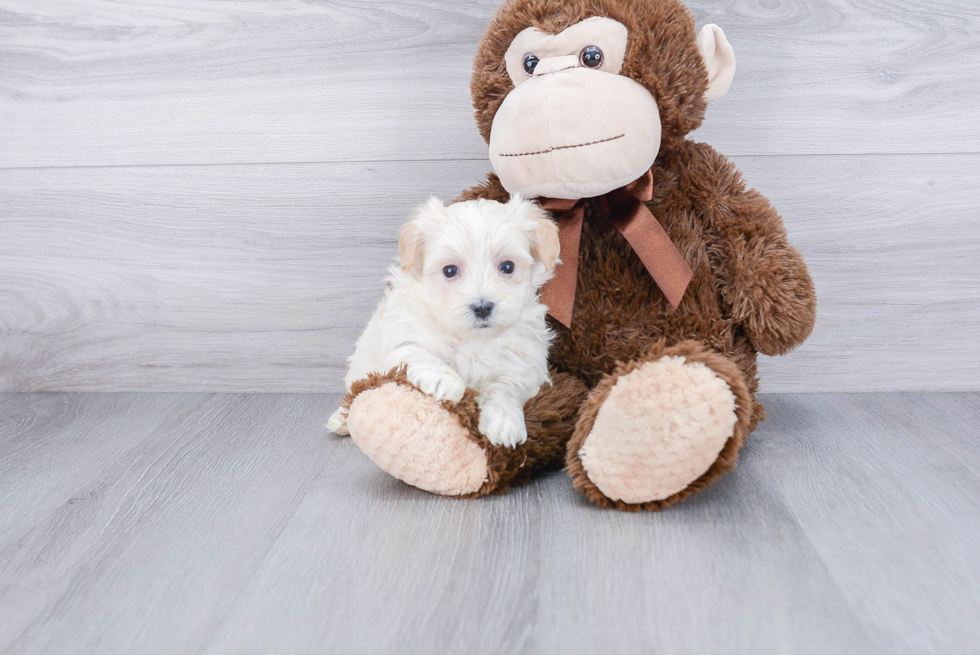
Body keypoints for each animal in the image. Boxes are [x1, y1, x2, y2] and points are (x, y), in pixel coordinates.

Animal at [328, 195, 560, 448]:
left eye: (507, 266)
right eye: (449, 270)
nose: (482, 307)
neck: (472, 338)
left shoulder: (523, 360)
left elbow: (506, 385)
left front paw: (504, 420)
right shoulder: (405, 332)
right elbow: (419, 353)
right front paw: (444, 380)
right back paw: (340, 419)